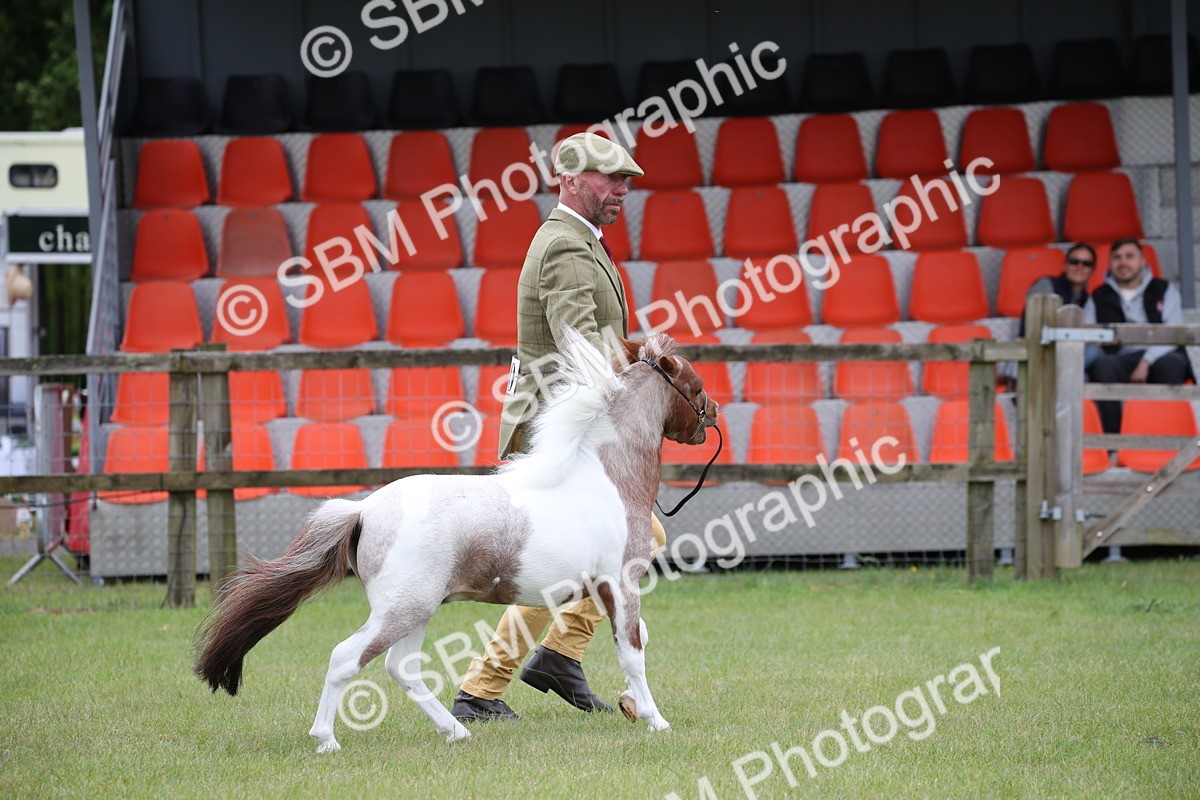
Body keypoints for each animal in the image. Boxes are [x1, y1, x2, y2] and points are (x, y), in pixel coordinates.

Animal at [193, 327, 720, 752]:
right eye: (695, 385)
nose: (713, 413)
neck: (606, 477)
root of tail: (364, 511)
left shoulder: (600, 588)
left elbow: (632, 641)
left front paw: (631, 706)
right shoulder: (622, 582)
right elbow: (632, 650)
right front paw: (655, 719)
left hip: (417, 609)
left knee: (402, 669)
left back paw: (456, 731)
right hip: (402, 609)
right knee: (346, 658)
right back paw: (327, 740)